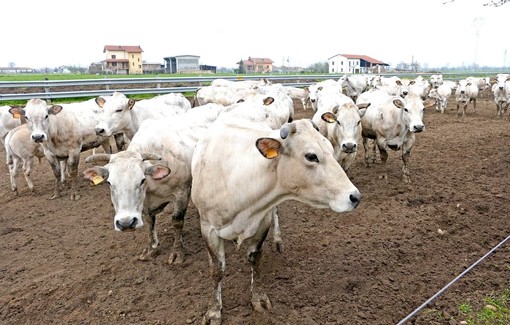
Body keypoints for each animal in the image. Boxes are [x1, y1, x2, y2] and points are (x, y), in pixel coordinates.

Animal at [191, 117, 362, 324]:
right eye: (311, 156)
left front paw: (258, 298)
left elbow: (255, 258)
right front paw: (214, 311)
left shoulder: (262, 221)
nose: (355, 197)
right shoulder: (207, 227)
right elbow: (217, 269)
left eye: (329, 147)